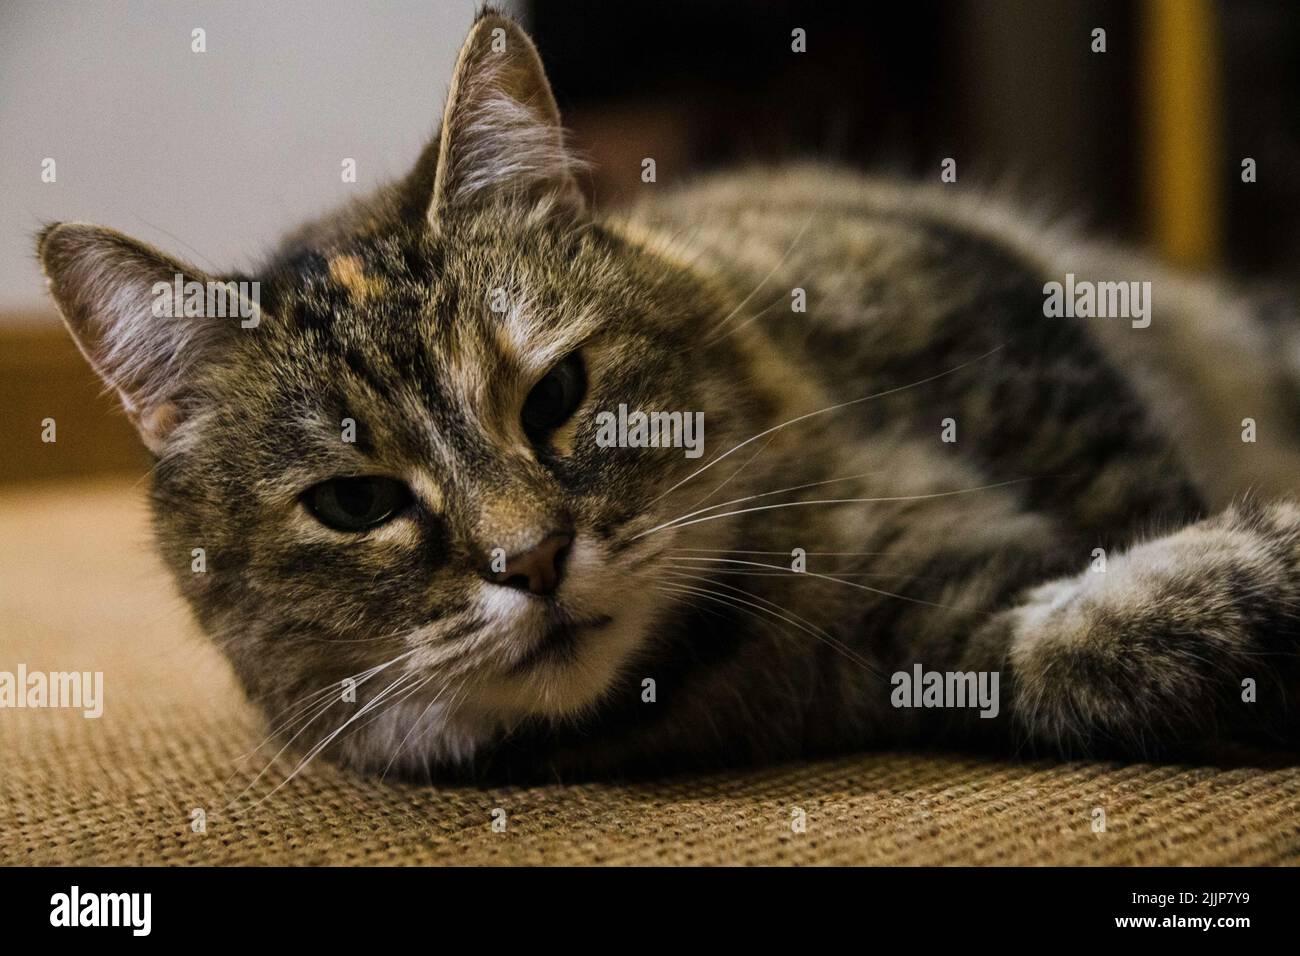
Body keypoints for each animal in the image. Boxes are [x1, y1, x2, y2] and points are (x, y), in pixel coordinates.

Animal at [35, 9, 1300, 785]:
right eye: (354, 503)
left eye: (556, 393)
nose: (534, 559)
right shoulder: (949, 633)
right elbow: (1114, 643)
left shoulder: (991, 315)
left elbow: (1129, 474)